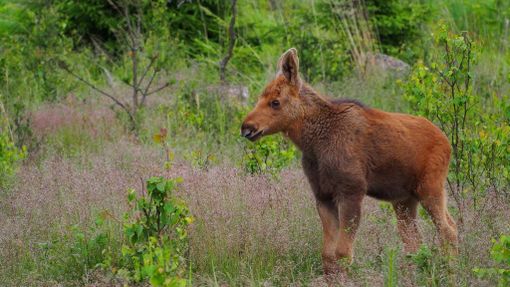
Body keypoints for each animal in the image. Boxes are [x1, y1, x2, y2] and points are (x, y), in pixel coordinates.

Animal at [240, 48, 458, 276]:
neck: (312, 144)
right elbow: (328, 256)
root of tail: (447, 142)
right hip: (404, 199)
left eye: (275, 102)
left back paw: (452, 272)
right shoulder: (323, 195)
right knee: (415, 241)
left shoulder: (351, 190)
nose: (246, 127)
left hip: (430, 187)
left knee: (448, 230)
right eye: (260, 97)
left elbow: (343, 254)